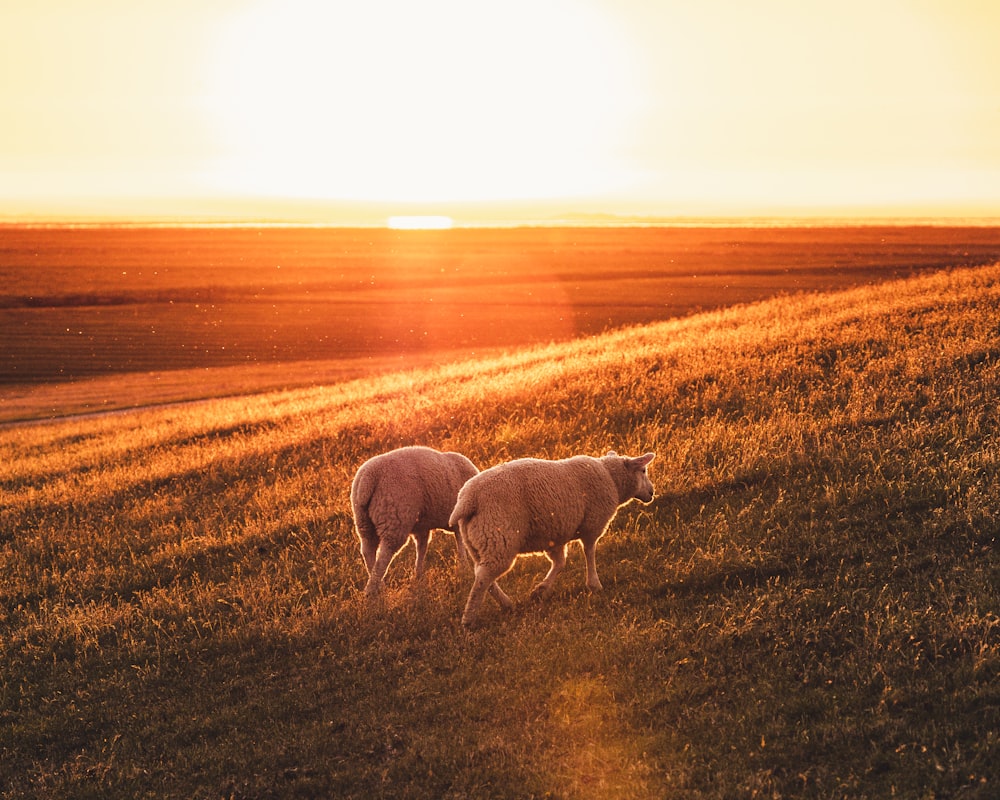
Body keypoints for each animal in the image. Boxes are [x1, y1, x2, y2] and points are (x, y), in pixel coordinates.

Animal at [350, 446, 478, 596]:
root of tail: (368, 478)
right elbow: (460, 543)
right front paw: (464, 569)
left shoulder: (422, 527)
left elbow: (422, 547)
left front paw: (418, 576)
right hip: (395, 519)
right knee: (384, 555)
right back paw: (374, 590)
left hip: (364, 521)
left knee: (368, 550)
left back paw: (378, 584)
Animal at [448, 450, 656, 624]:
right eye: (643, 470)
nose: (652, 493)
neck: (611, 478)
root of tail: (468, 500)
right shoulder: (592, 524)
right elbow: (589, 553)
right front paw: (594, 584)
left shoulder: (555, 535)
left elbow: (560, 563)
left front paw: (540, 591)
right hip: (499, 537)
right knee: (484, 577)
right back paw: (469, 619)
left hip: (479, 542)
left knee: (482, 574)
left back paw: (506, 604)